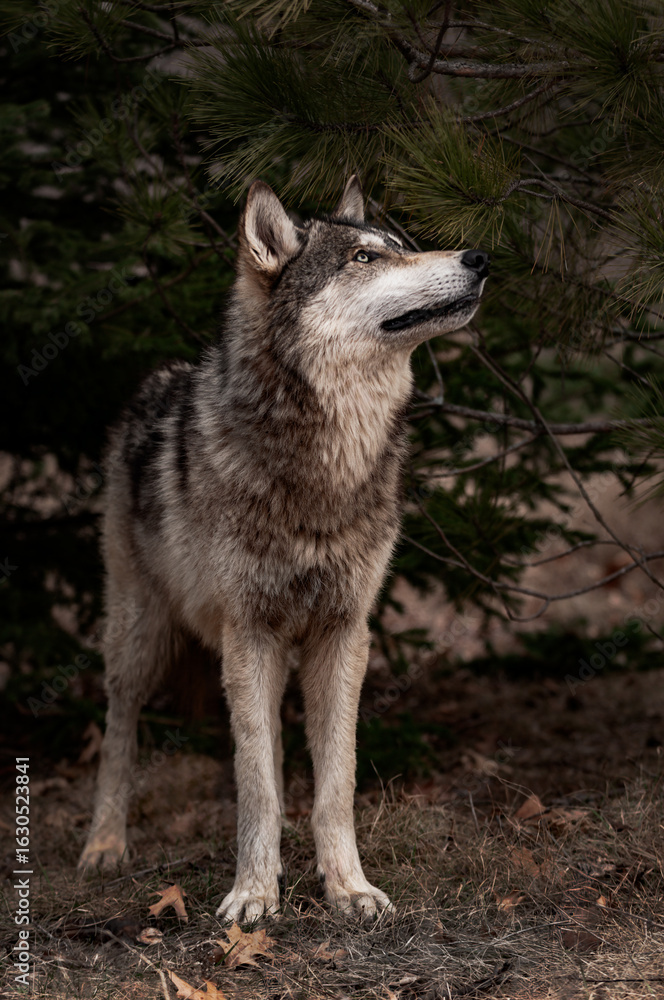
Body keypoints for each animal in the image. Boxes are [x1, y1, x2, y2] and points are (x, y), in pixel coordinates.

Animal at [78, 176, 489, 921]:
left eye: (402, 246)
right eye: (363, 258)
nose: (478, 257)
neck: (327, 464)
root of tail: (158, 378)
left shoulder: (344, 633)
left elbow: (334, 783)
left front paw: (348, 888)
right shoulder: (250, 632)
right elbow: (259, 784)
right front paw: (252, 895)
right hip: (140, 636)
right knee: (121, 730)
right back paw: (105, 846)